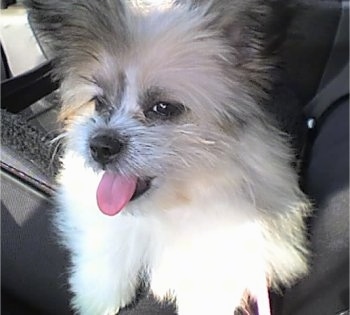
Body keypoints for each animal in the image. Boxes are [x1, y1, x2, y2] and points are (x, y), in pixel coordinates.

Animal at [28, 0, 312, 314]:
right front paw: (99, 297)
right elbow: (108, 243)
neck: (167, 207)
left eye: (163, 108)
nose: (101, 145)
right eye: (99, 102)